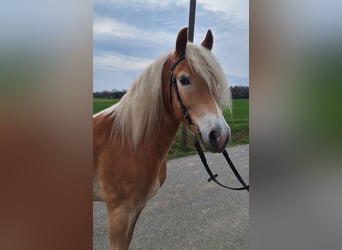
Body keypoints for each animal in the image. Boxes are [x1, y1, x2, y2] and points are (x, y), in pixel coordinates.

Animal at [93, 27, 232, 250]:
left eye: (215, 82)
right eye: (184, 80)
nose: (220, 136)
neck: (128, 142)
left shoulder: (135, 209)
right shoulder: (118, 214)